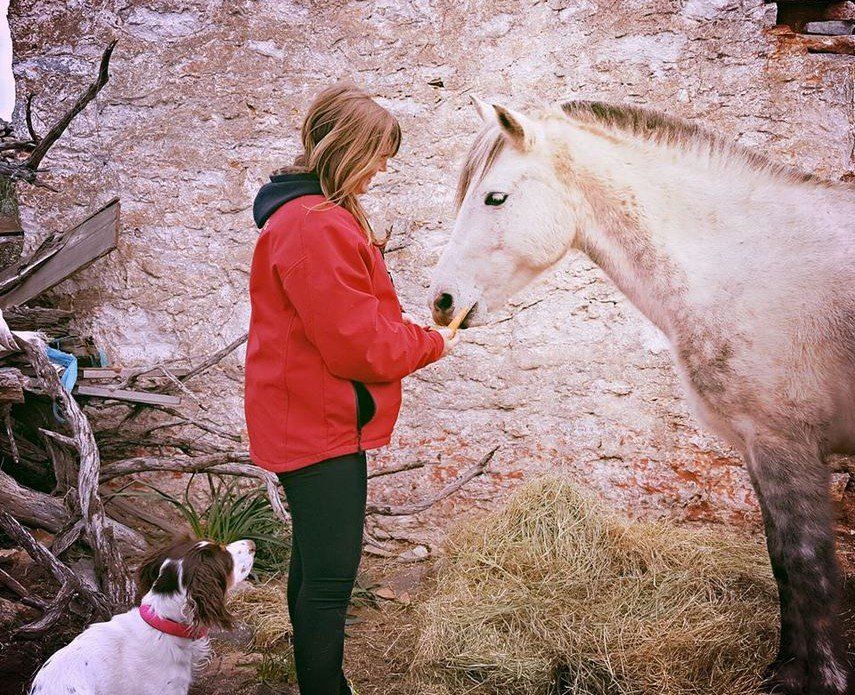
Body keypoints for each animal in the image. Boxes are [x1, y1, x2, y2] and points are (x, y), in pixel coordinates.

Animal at [429, 96, 855, 695]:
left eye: (495, 196)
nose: (441, 301)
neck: (753, 259)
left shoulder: (786, 445)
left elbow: (808, 564)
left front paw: (824, 678)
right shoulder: (757, 449)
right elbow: (780, 561)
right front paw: (784, 670)